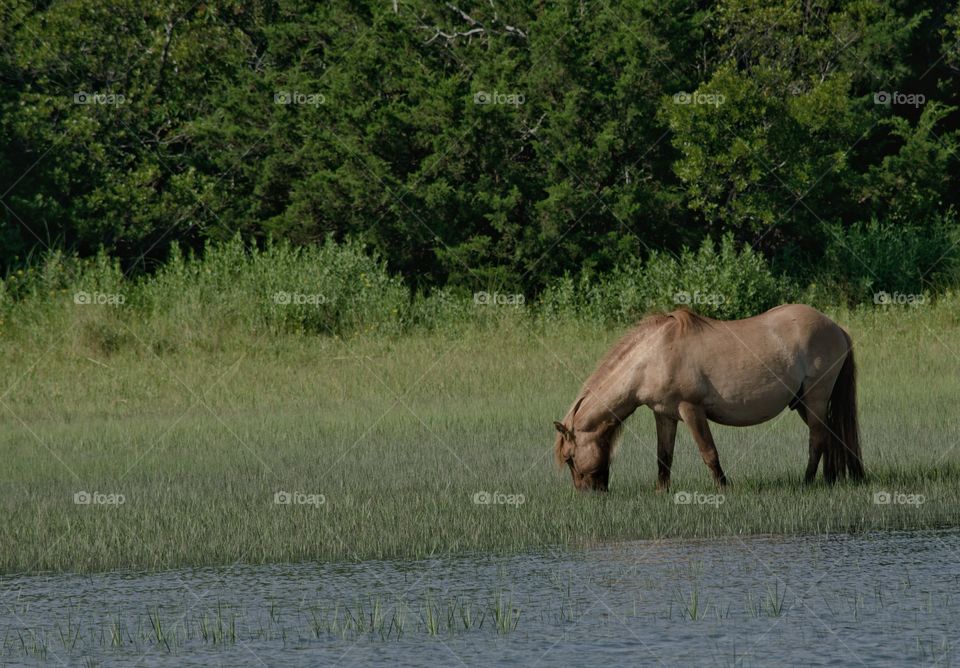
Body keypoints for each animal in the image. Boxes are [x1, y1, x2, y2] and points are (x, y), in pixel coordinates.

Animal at [552, 306, 868, 494]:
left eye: (569, 458)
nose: (589, 493)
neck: (654, 356)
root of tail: (837, 328)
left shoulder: (691, 410)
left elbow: (708, 452)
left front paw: (723, 488)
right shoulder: (664, 415)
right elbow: (664, 456)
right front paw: (661, 491)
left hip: (815, 398)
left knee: (817, 439)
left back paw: (808, 481)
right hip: (803, 402)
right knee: (830, 435)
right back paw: (830, 479)